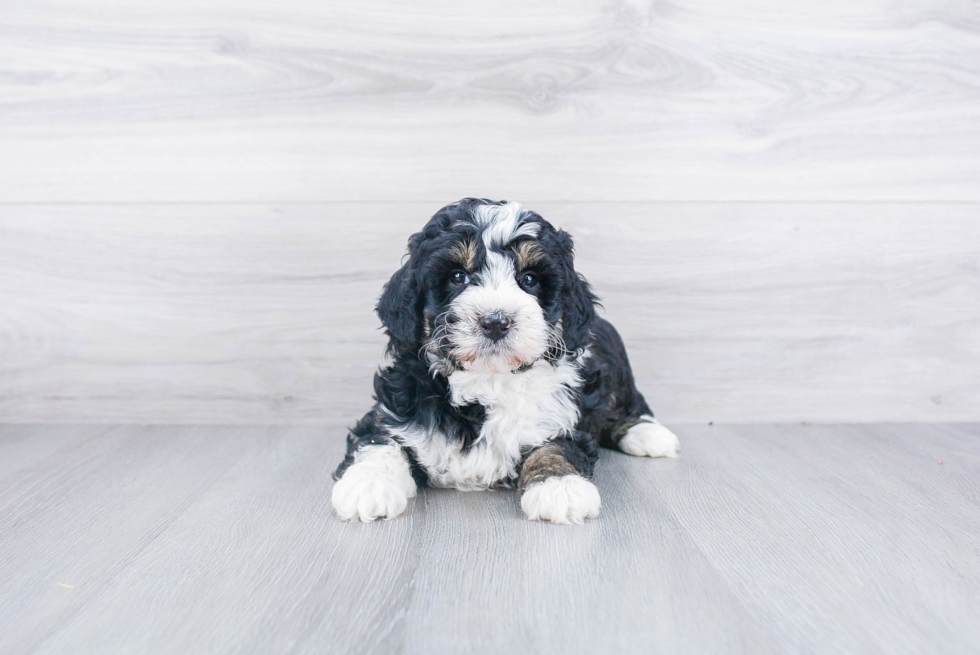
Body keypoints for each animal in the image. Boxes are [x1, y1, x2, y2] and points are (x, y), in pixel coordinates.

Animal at [334, 197, 676, 524]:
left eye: (529, 279)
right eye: (457, 276)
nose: (495, 321)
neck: (488, 380)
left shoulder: (566, 415)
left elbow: (557, 445)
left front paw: (559, 487)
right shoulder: (394, 409)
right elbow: (378, 441)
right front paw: (366, 486)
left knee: (628, 404)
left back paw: (650, 435)